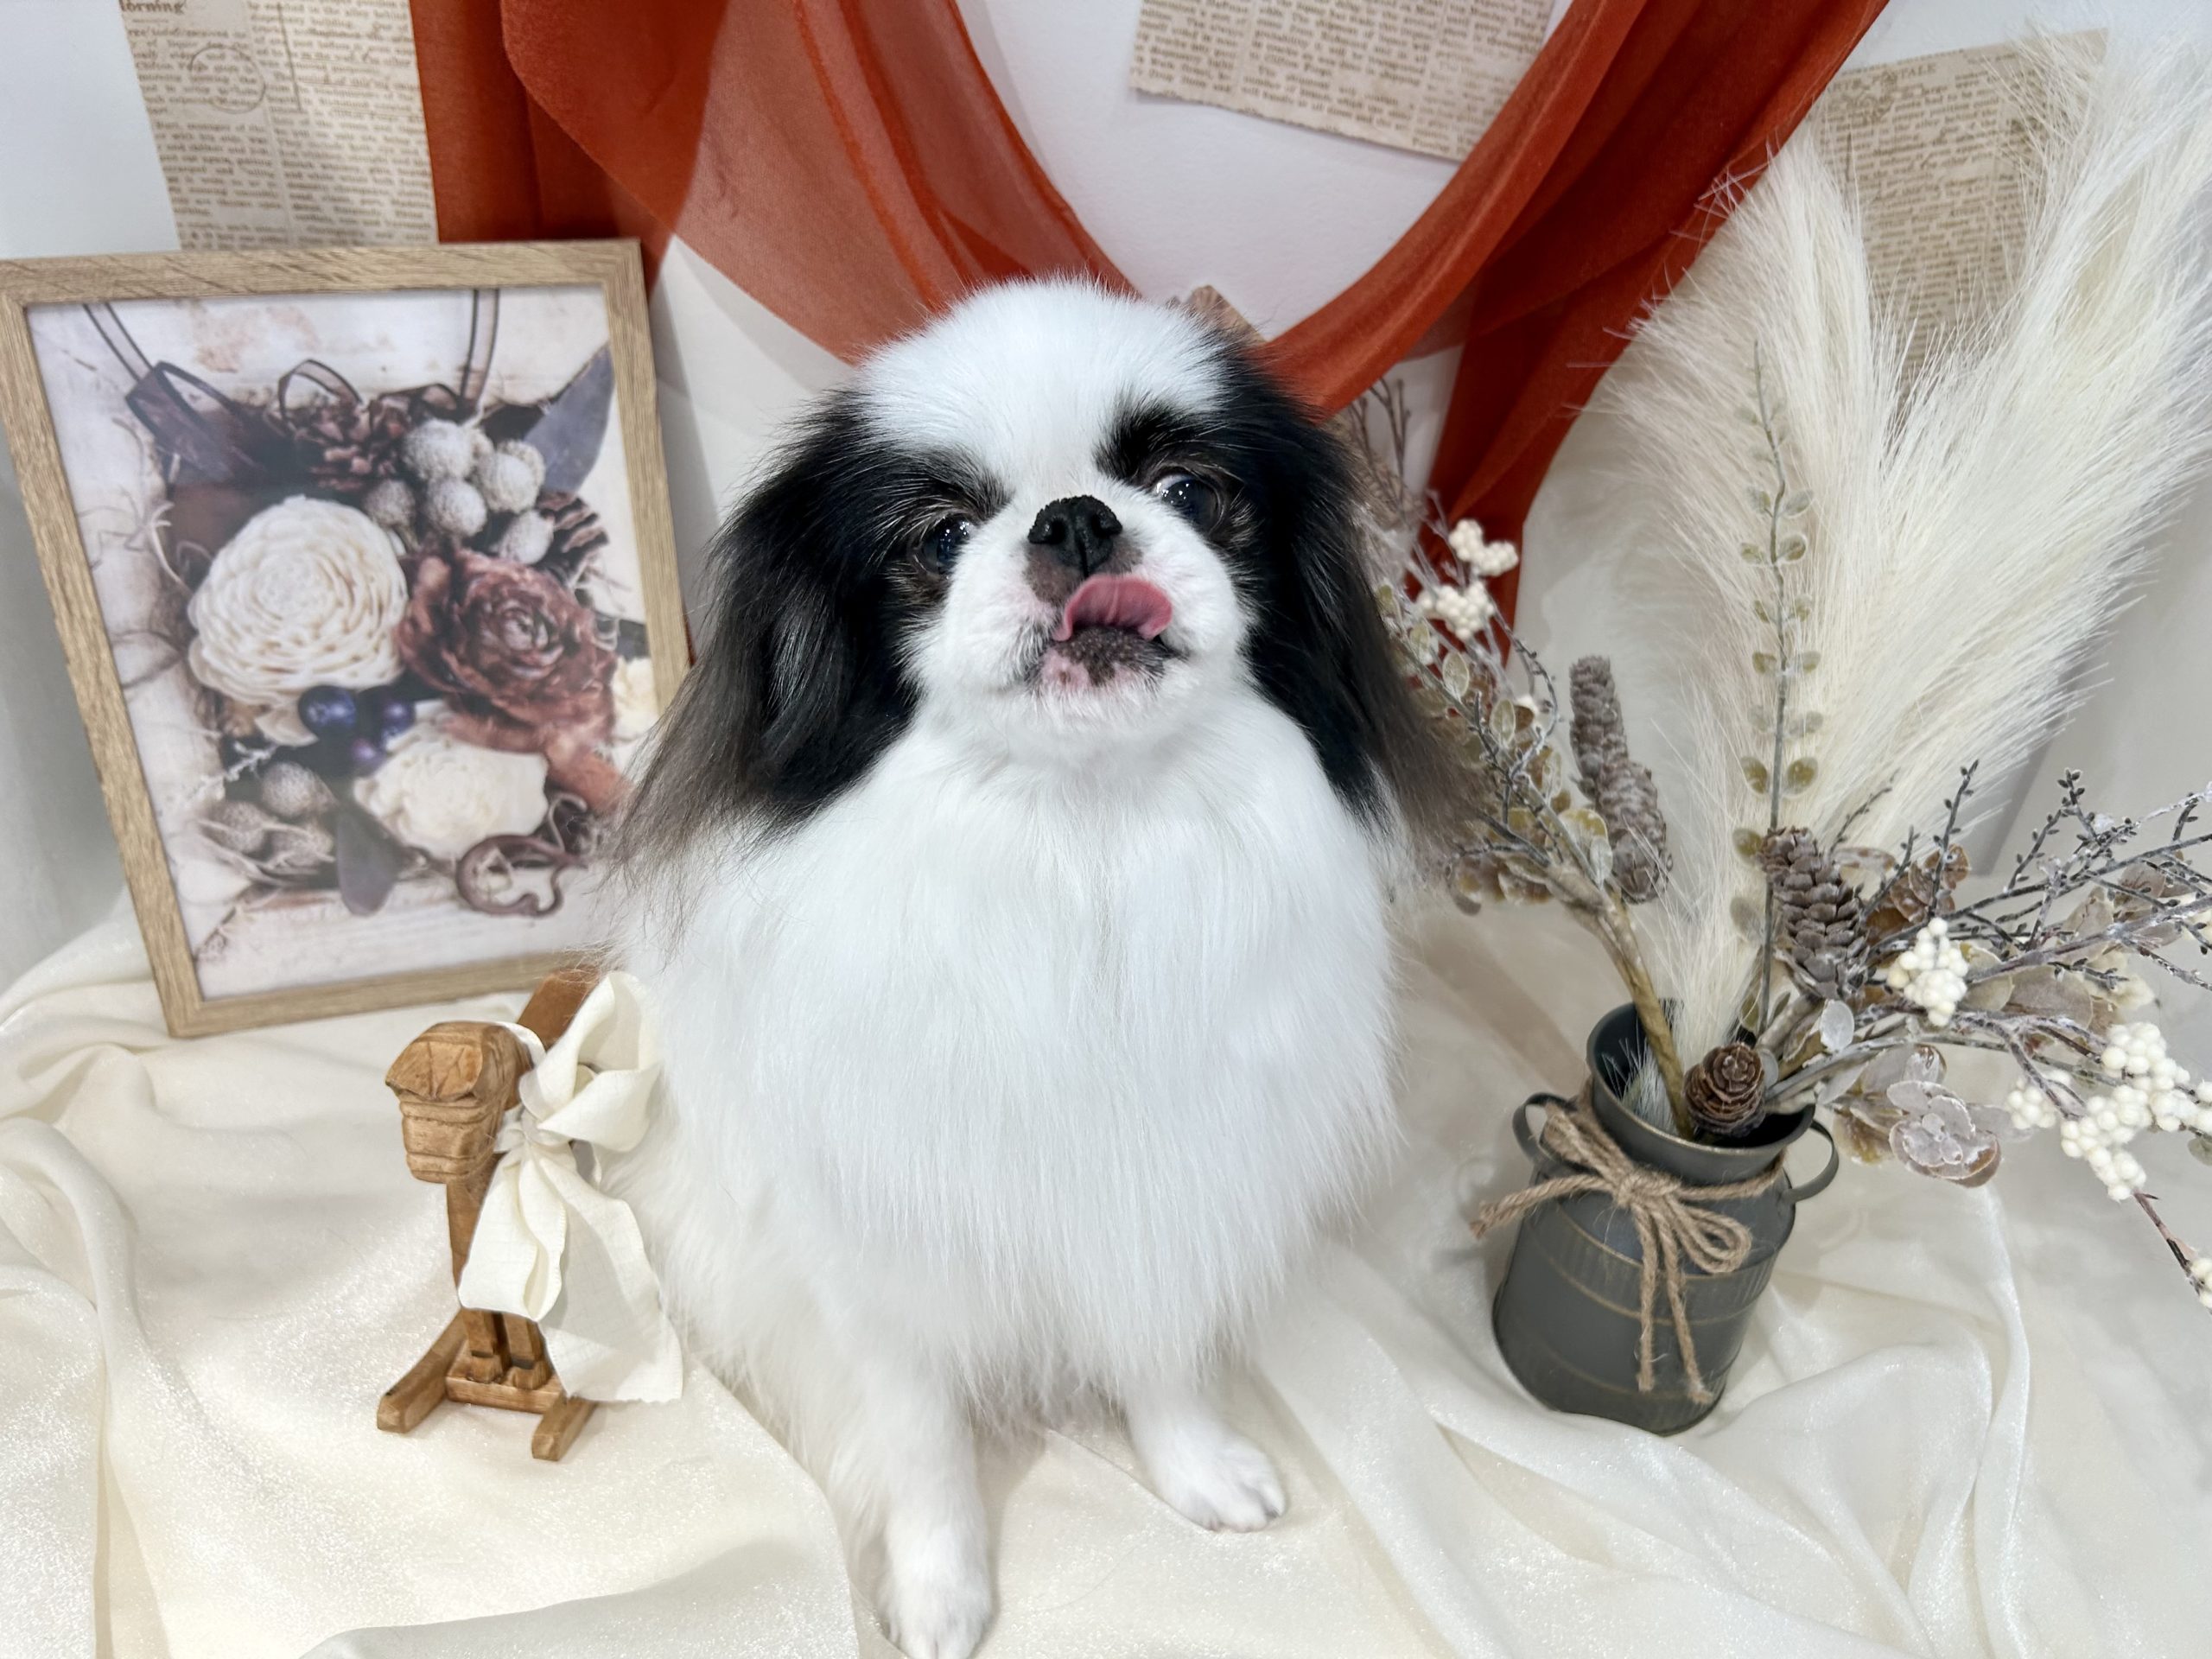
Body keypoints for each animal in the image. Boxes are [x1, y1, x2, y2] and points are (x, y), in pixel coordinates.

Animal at [609, 279, 1448, 1659]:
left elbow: (1159, 1347)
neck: (1083, 839)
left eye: (1189, 487)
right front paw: (938, 1587)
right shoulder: (876, 1256)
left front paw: (1194, 1470)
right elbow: (920, 1440)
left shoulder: (1165, 1183)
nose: (1076, 517)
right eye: (942, 534)